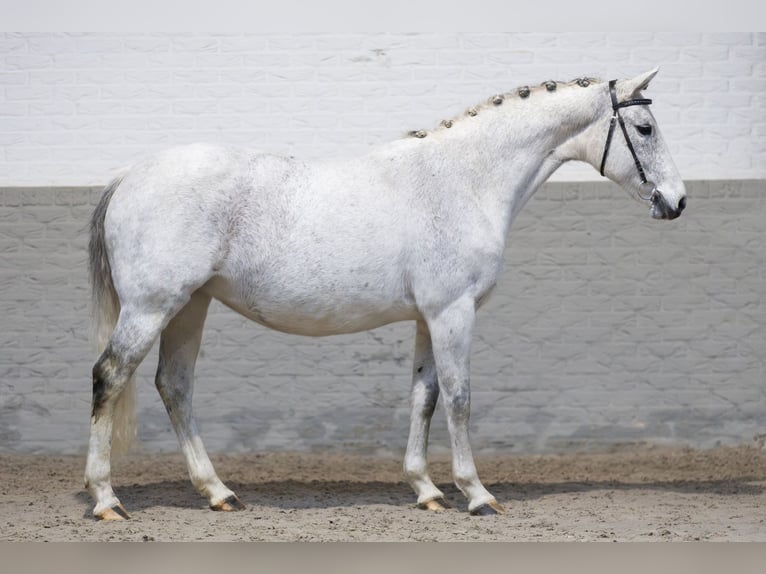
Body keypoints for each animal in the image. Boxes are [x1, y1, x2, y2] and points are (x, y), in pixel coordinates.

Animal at [85, 68, 688, 520]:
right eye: (644, 127)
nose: (677, 201)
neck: (465, 180)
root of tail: (129, 176)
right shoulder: (453, 312)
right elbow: (460, 397)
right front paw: (477, 495)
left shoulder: (428, 316)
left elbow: (425, 397)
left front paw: (427, 491)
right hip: (152, 307)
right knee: (109, 377)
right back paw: (106, 500)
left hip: (191, 306)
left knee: (175, 386)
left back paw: (218, 492)